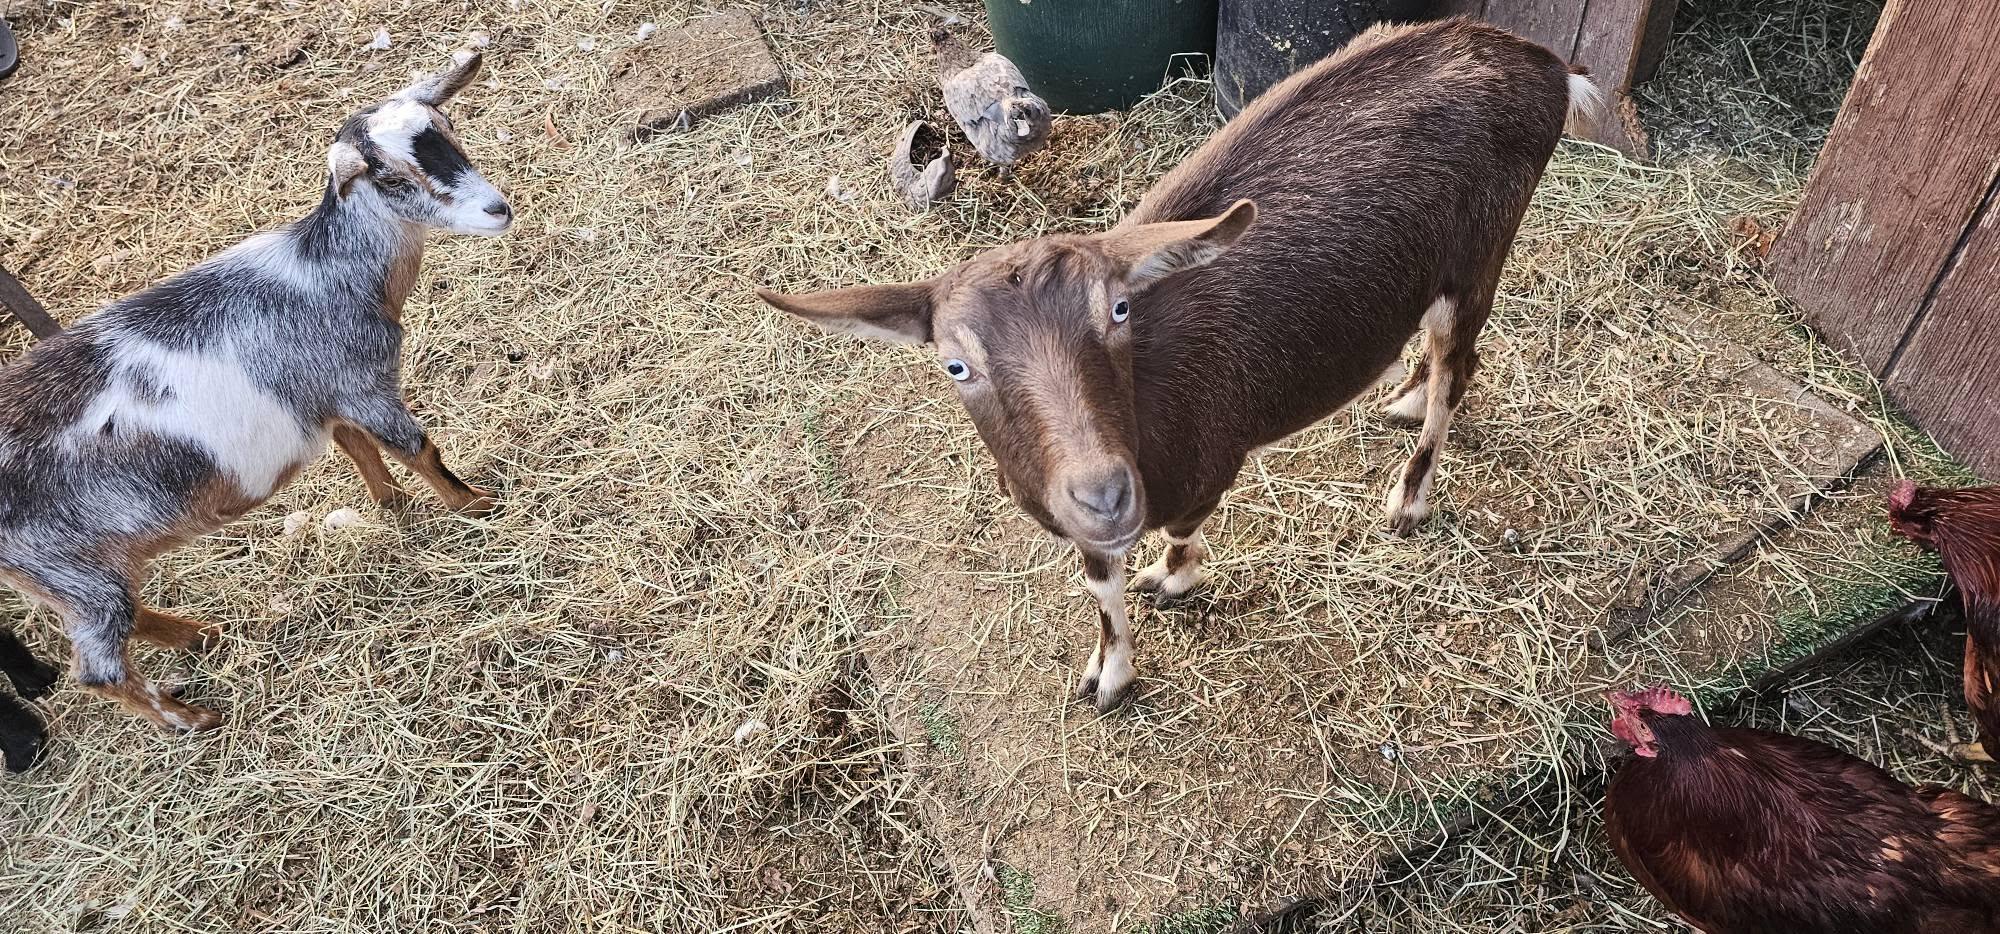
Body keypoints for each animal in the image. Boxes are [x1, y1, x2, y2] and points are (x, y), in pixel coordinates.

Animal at [0, 52, 511, 732]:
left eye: (449, 131)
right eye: (390, 176)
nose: (498, 209)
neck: (329, 274)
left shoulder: (328, 399)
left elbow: (358, 449)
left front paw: (392, 505)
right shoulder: (364, 384)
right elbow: (417, 448)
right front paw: (475, 503)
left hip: (75, 578)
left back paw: (201, 637)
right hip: (73, 575)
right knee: (99, 669)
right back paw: (191, 718)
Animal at [760, 19, 1602, 711]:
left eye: (1119, 311)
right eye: (955, 366)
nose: (1105, 493)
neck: (1146, 415)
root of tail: (1544, 64)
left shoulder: (1209, 462)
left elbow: (1179, 534)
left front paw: (1171, 579)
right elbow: (1100, 587)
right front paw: (1109, 674)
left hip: (1484, 246)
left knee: (1461, 364)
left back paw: (1409, 497)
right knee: (1450, 354)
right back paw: (1404, 398)